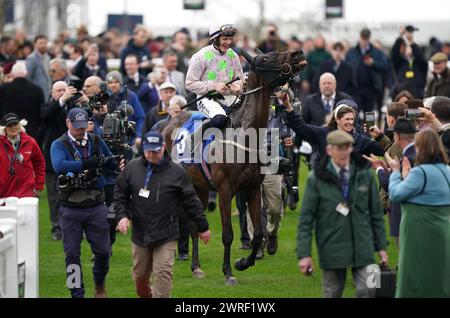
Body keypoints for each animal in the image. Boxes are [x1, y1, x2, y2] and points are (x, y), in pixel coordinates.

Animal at [162, 49, 306, 286]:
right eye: (265, 58)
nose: (298, 53)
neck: (244, 134)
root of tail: (171, 120)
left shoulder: (253, 188)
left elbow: (258, 233)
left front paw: (243, 263)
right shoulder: (225, 190)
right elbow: (227, 234)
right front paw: (228, 272)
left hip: (201, 188)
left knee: (194, 226)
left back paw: (196, 267)